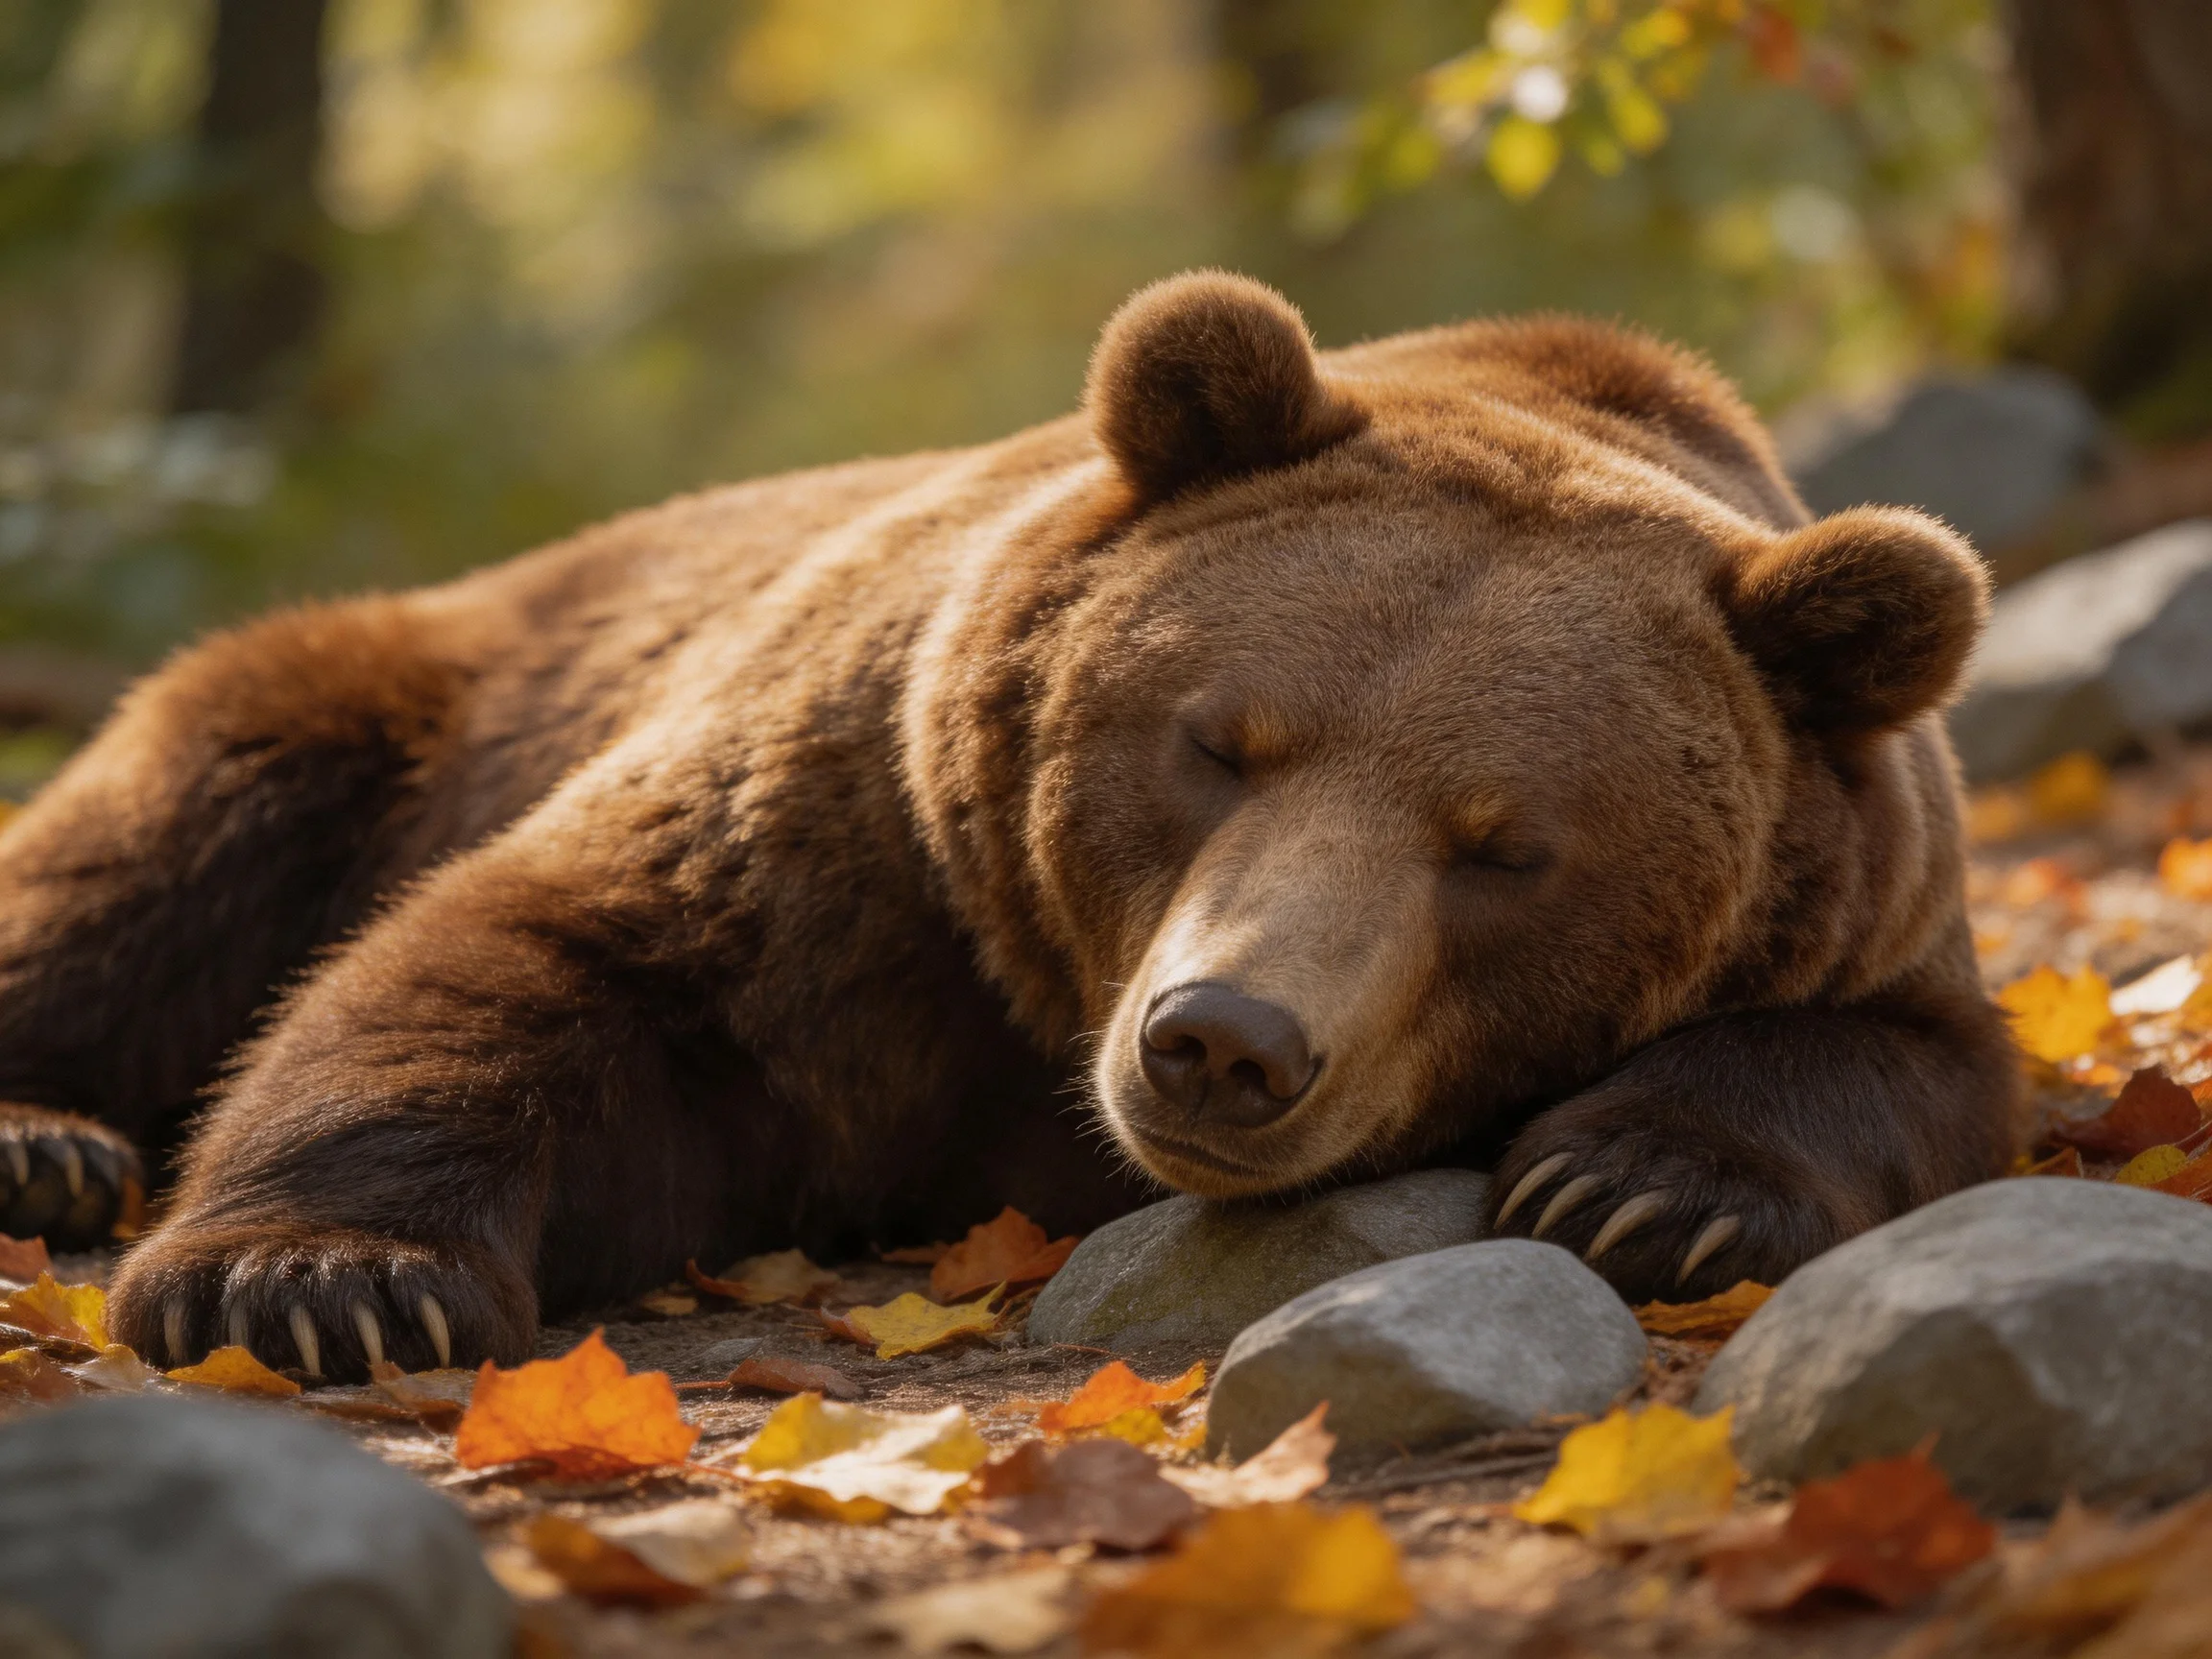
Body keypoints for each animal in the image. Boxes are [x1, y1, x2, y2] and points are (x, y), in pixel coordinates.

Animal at [0, 271, 2017, 1381]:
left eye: (1502, 844)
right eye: (1220, 740)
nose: (1220, 1040)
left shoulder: (1871, 889)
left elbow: (1904, 1060)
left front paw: (1630, 1180)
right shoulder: (854, 841)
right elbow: (530, 951)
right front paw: (316, 1280)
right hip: (379, 692)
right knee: (145, 861)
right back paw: (51, 1140)